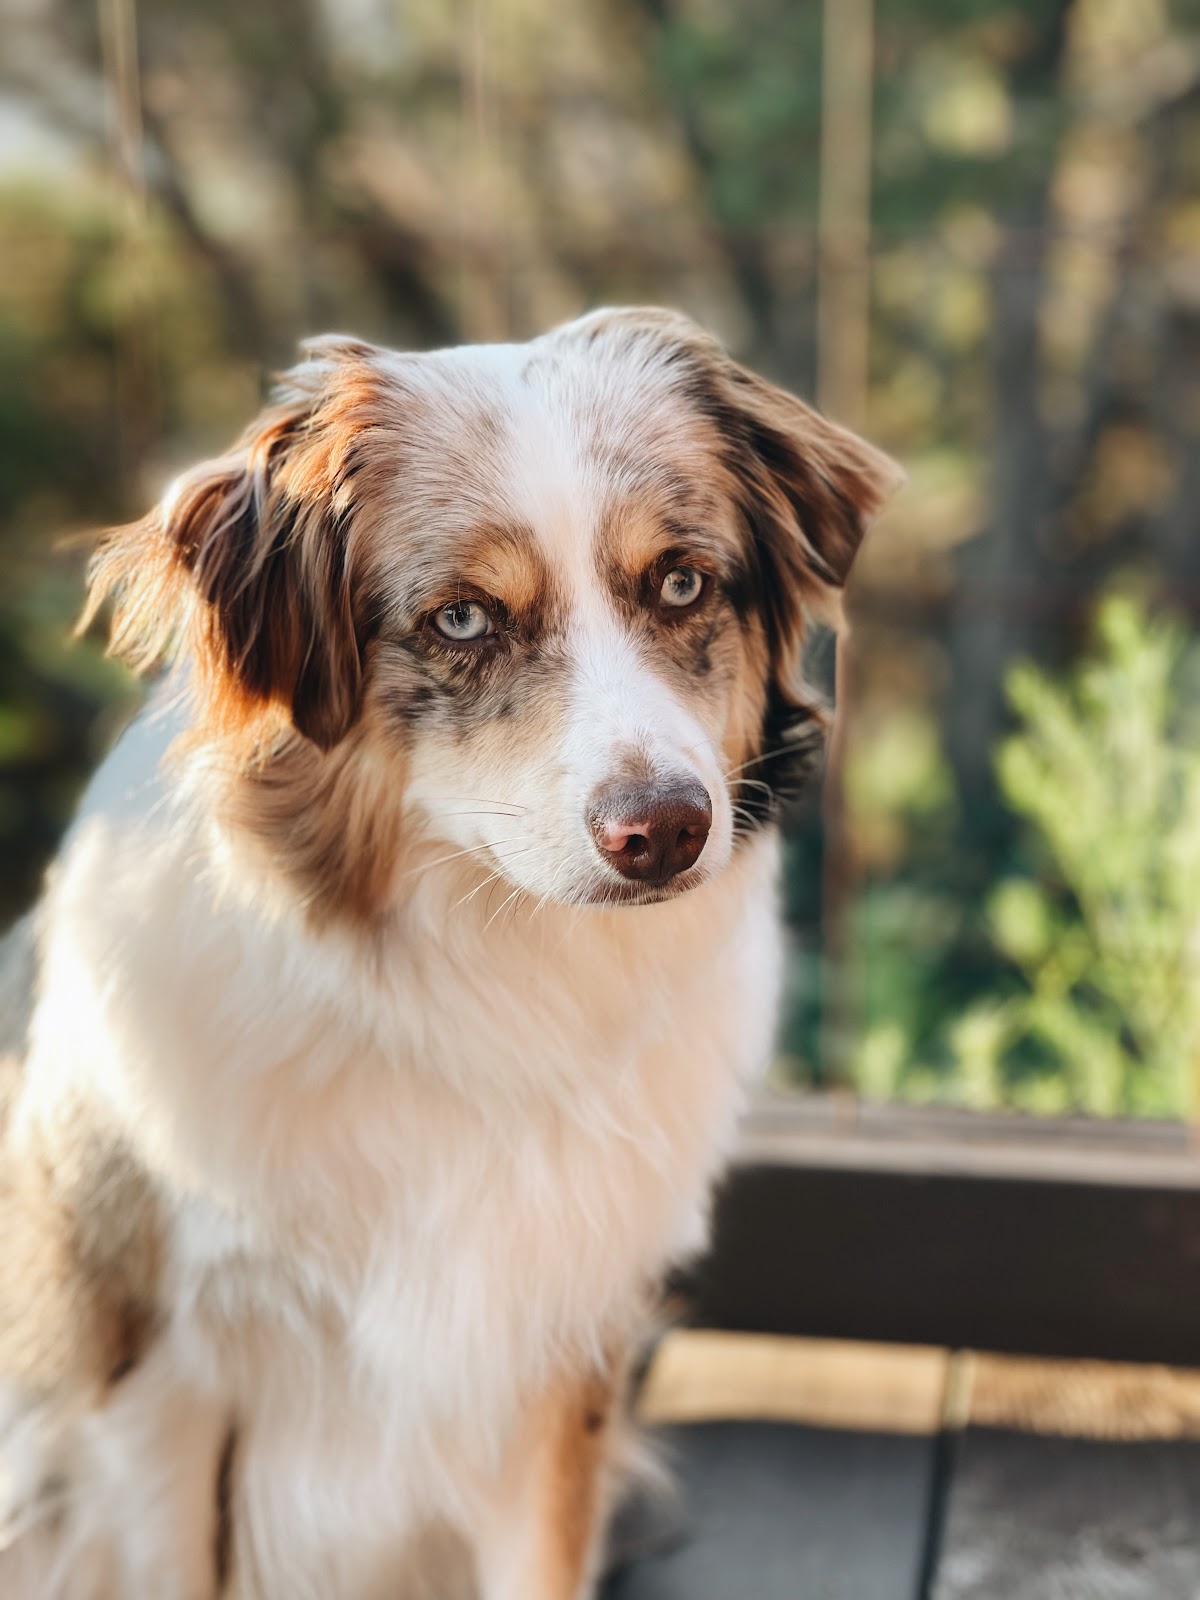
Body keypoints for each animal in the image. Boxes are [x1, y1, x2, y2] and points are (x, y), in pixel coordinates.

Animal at [0, 302, 902, 1600]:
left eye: (682, 582)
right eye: (465, 617)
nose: (666, 832)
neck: (470, 977)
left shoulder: (557, 1358)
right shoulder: (149, 1384)